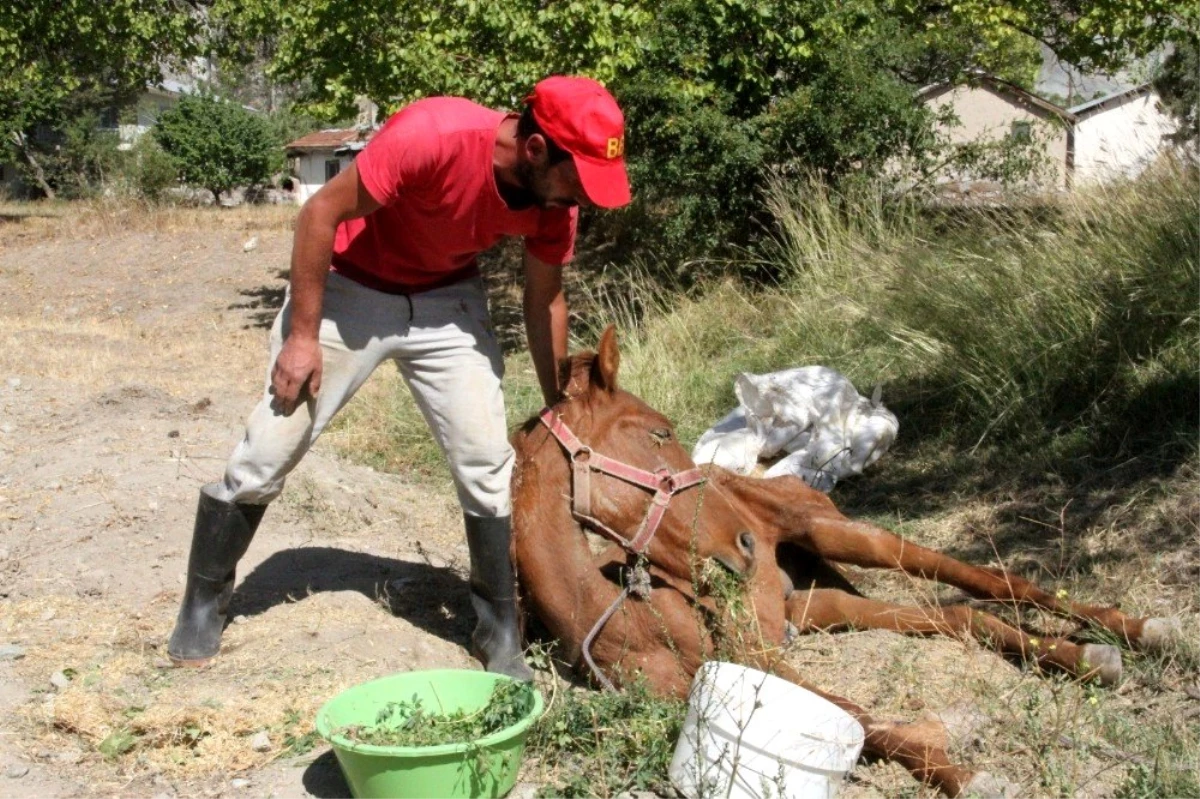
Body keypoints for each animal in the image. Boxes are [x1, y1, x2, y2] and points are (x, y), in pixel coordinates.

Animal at [511, 326, 1176, 796]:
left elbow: (864, 721)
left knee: (985, 579)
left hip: (837, 536)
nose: (745, 544)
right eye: (656, 434)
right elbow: (865, 723)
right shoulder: (747, 658)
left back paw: (1137, 632)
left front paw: (968, 773)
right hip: (812, 605)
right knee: (959, 617)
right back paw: (1085, 658)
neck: (629, 616)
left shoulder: (756, 655)